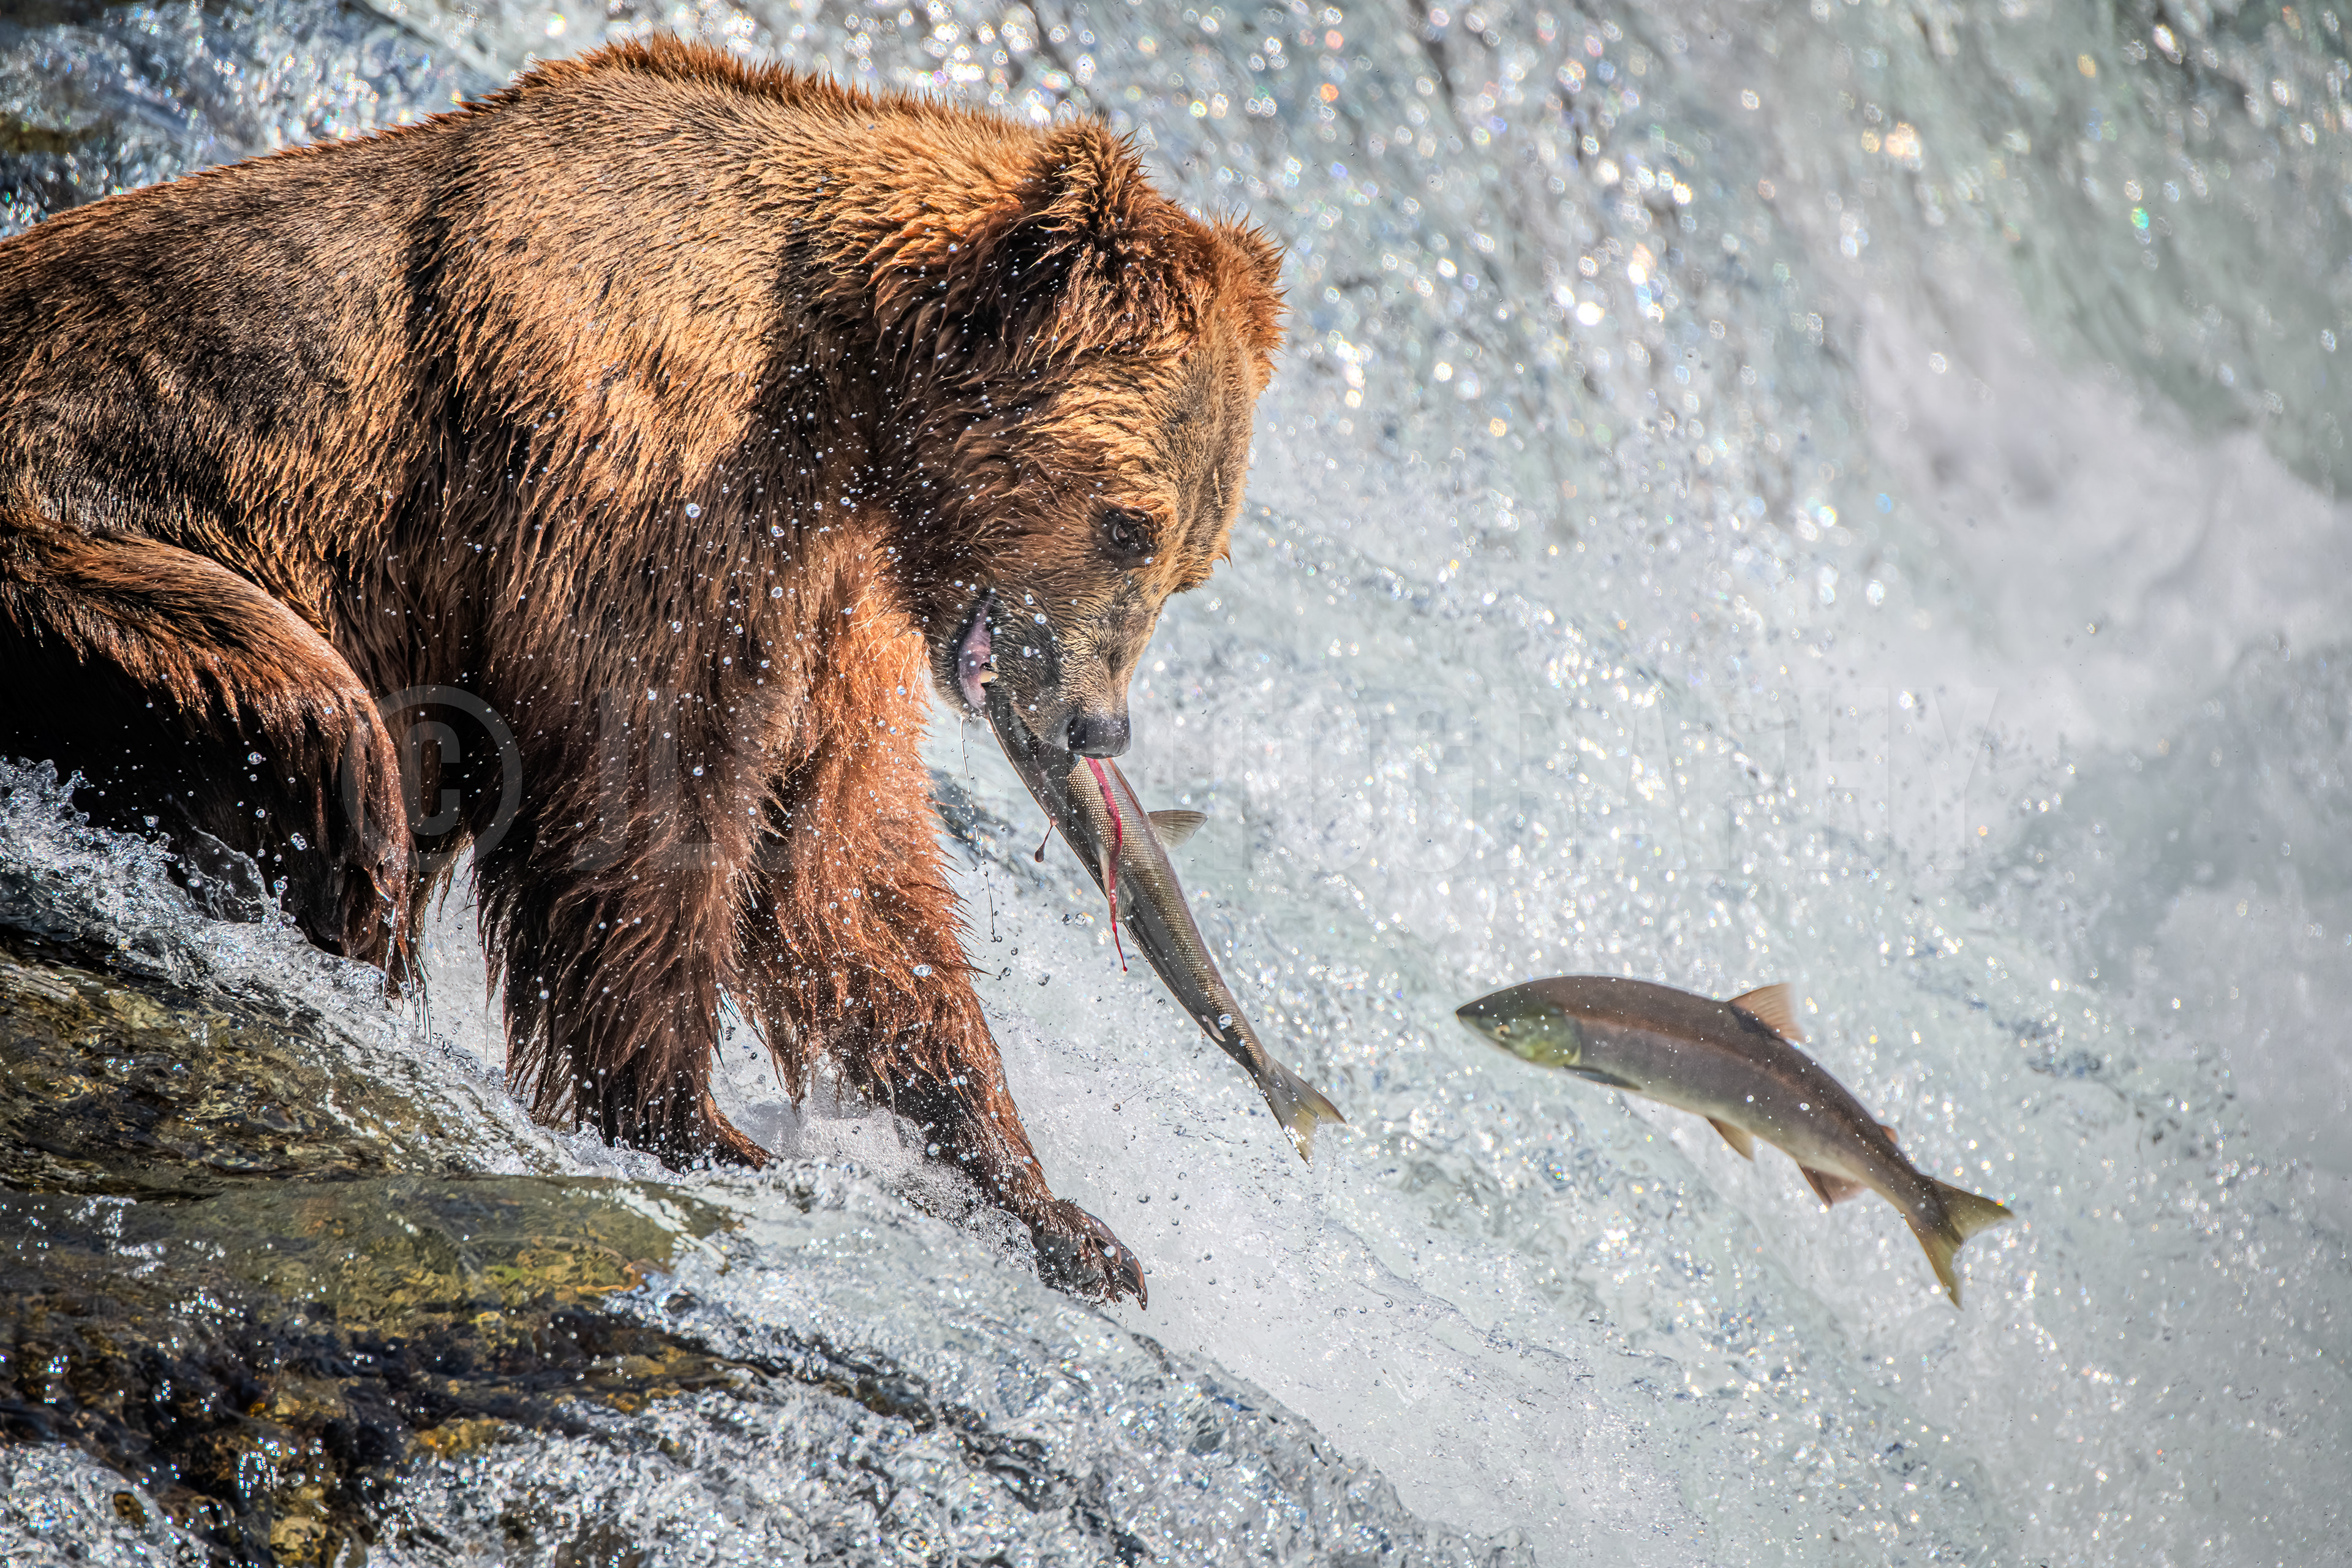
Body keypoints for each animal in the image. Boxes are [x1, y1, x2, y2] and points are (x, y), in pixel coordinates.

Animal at [0, 37, 1284, 1304]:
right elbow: (649, 796)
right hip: (92, 535)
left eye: (1194, 561)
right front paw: (700, 1127)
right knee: (323, 724)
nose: (1098, 729)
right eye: (1128, 525)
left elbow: (841, 863)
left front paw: (1058, 1214)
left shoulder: (829, 585)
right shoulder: (642, 483)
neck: (851, 389)